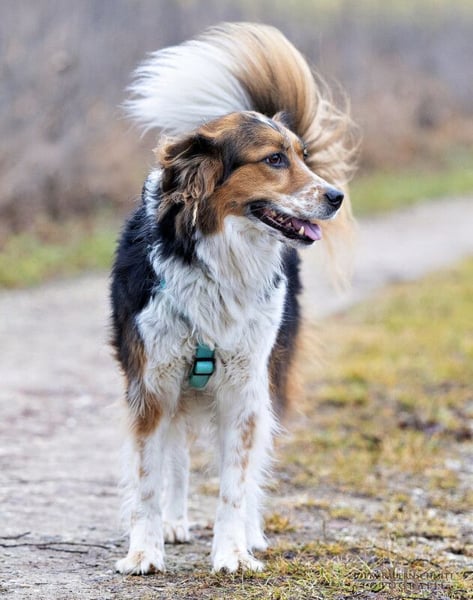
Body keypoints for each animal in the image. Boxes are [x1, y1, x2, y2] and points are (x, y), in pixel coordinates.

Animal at [111, 22, 356, 574]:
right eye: (274, 159)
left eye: (302, 156)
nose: (336, 197)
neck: (219, 259)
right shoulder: (152, 384)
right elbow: (149, 479)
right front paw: (145, 550)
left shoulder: (245, 389)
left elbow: (235, 482)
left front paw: (232, 552)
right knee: (177, 456)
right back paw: (176, 523)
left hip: (269, 378)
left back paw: (251, 534)